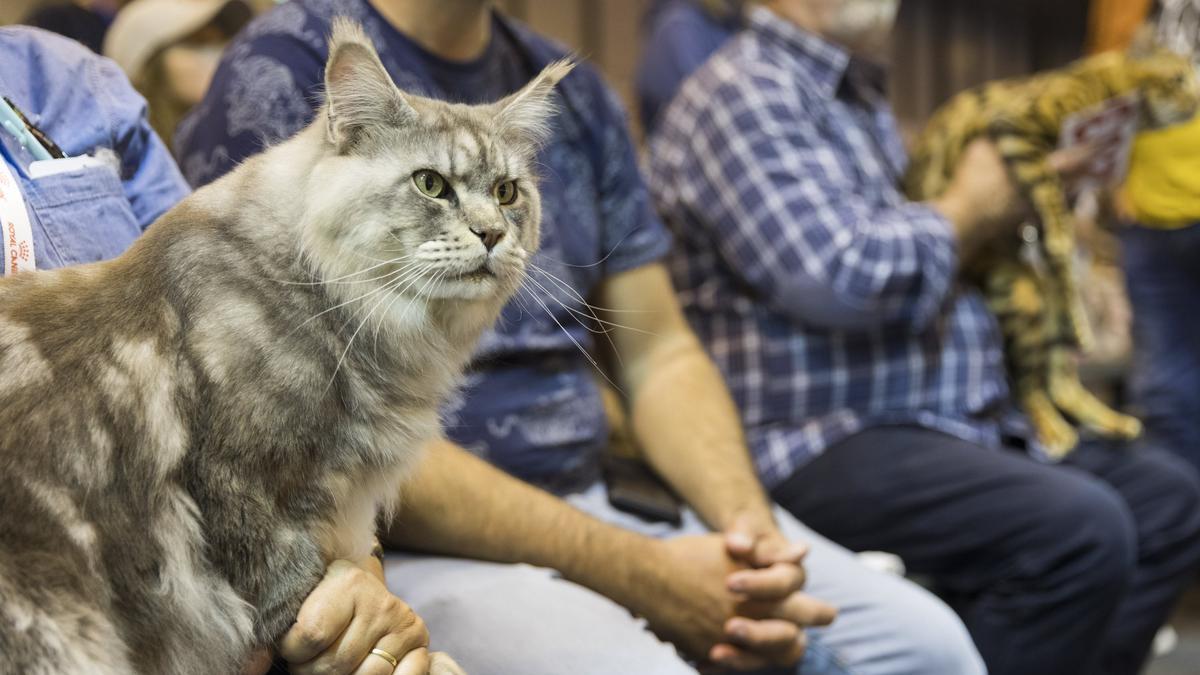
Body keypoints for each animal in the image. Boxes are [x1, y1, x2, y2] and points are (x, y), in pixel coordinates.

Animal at [907, 47, 1200, 454]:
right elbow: (1048, 187)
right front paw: (1060, 234)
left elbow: (1064, 273)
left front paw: (1079, 317)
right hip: (1022, 297)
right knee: (1030, 387)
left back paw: (1110, 420)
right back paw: (1053, 432)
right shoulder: (1017, 125)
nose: (1196, 101)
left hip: (1045, 316)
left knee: (1060, 380)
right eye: (1178, 79)